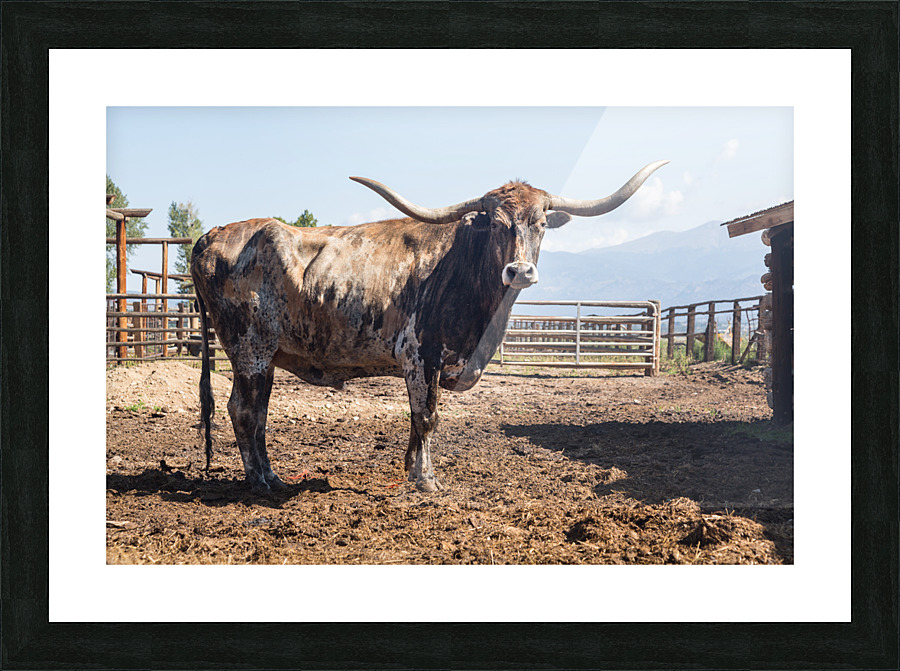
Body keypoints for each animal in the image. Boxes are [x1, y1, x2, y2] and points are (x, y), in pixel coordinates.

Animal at [190, 160, 668, 494]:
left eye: (543, 223)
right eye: (496, 224)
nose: (519, 271)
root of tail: (214, 233)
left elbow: (416, 421)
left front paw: (410, 470)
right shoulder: (420, 356)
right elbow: (427, 417)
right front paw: (426, 480)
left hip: (265, 358)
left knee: (257, 414)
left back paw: (272, 476)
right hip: (250, 351)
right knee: (244, 411)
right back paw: (259, 482)